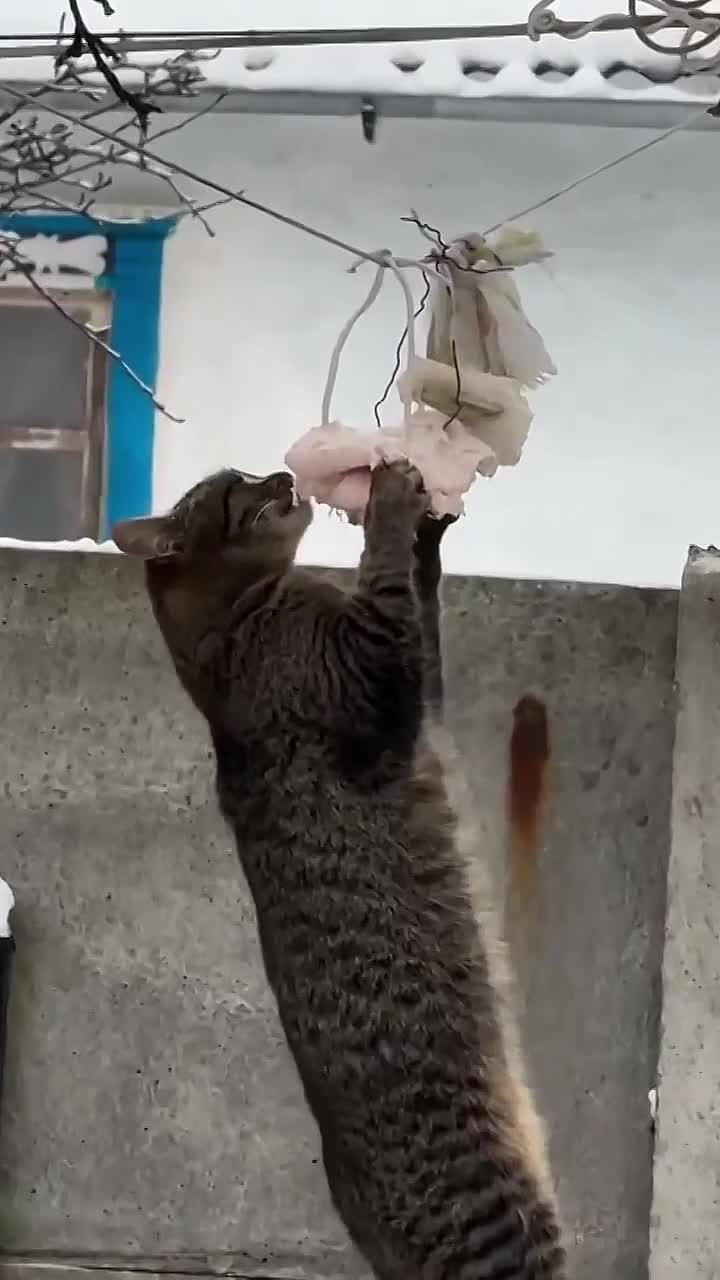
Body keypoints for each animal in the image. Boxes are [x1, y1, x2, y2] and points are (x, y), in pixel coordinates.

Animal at [113, 461, 566, 1280]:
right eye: (234, 488)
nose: (279, 472)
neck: (241, 627)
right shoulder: (378, 675)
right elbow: (385, 582)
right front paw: (391, 501)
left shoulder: (419, 696)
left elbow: (419, 596)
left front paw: (428, 528)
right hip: (507, 1228)